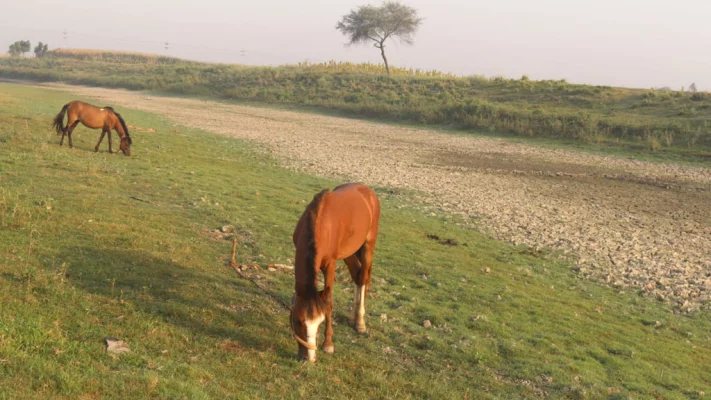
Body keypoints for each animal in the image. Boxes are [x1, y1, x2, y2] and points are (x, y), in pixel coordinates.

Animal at [290, 184, 382, 362]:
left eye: (319, 323)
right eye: (298, 321)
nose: (309, 358)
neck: (319, 224)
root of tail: (368, 191)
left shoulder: (330, 265)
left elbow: (329, 302)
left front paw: (328, 344)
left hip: (368, 246)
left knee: (363, 277)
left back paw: (360, 322)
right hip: (349, 253)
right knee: (357, 275)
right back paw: (353, 317)